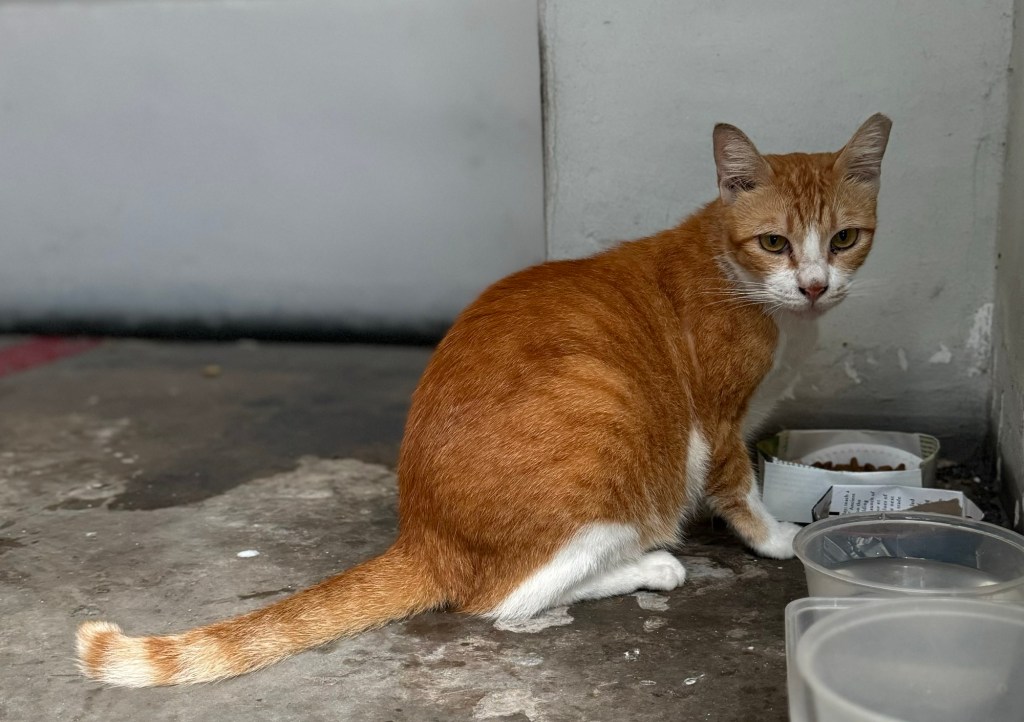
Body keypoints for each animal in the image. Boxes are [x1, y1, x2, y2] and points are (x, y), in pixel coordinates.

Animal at [77, 113, 891, 687]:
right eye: (776, 243)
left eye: (844, 239)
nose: (815, 286)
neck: (745, 283)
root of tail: (424, 533)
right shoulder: (716, 420)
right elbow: (739, 487)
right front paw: (779, 537)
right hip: (610, 439)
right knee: (508, 598)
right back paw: (649, 565)